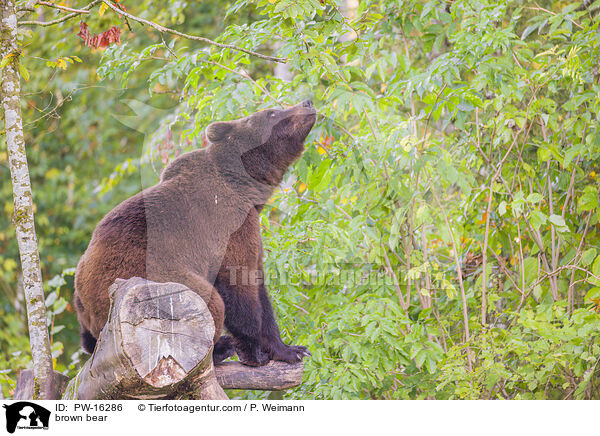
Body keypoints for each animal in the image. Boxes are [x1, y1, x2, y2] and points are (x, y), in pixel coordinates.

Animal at [74, 100, 316, 366]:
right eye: (272, 113)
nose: (307, 102)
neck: (245, 185)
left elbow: (259, 285)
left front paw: (290, 348)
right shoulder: (230, 223)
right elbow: (239, 285)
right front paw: (262, 351)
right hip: (151, 281)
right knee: (209, 303)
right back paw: (220, 347)